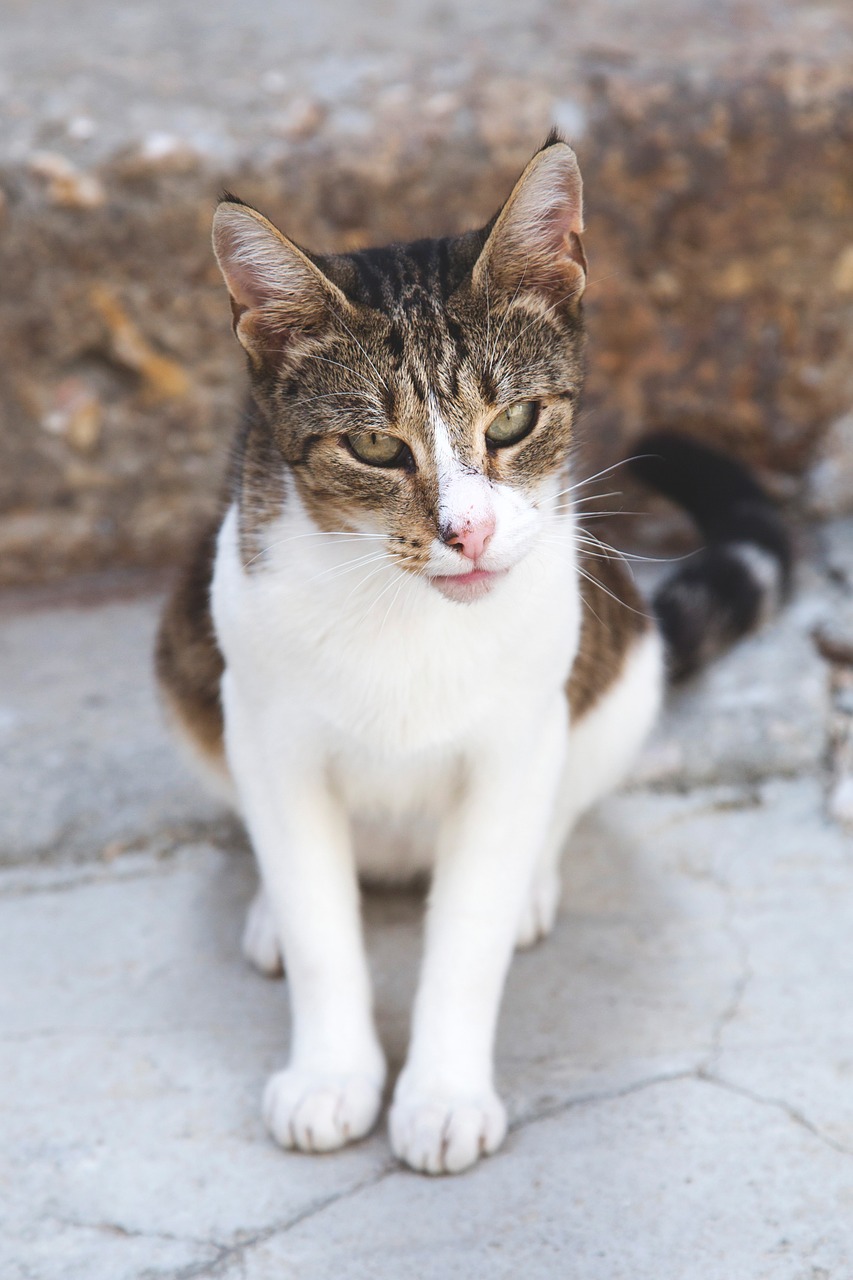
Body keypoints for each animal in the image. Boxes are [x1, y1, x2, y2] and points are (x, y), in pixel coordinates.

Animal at [156, 135, 788, 1172]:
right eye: (375, 446)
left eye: (511, 424)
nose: (469, 532)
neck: (408, 615)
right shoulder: (268, 726)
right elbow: (320, 917)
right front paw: (332, 1072)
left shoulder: (514, 740)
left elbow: (468, 931)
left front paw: (443, 1091)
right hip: (183, 666)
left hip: (619, 668)